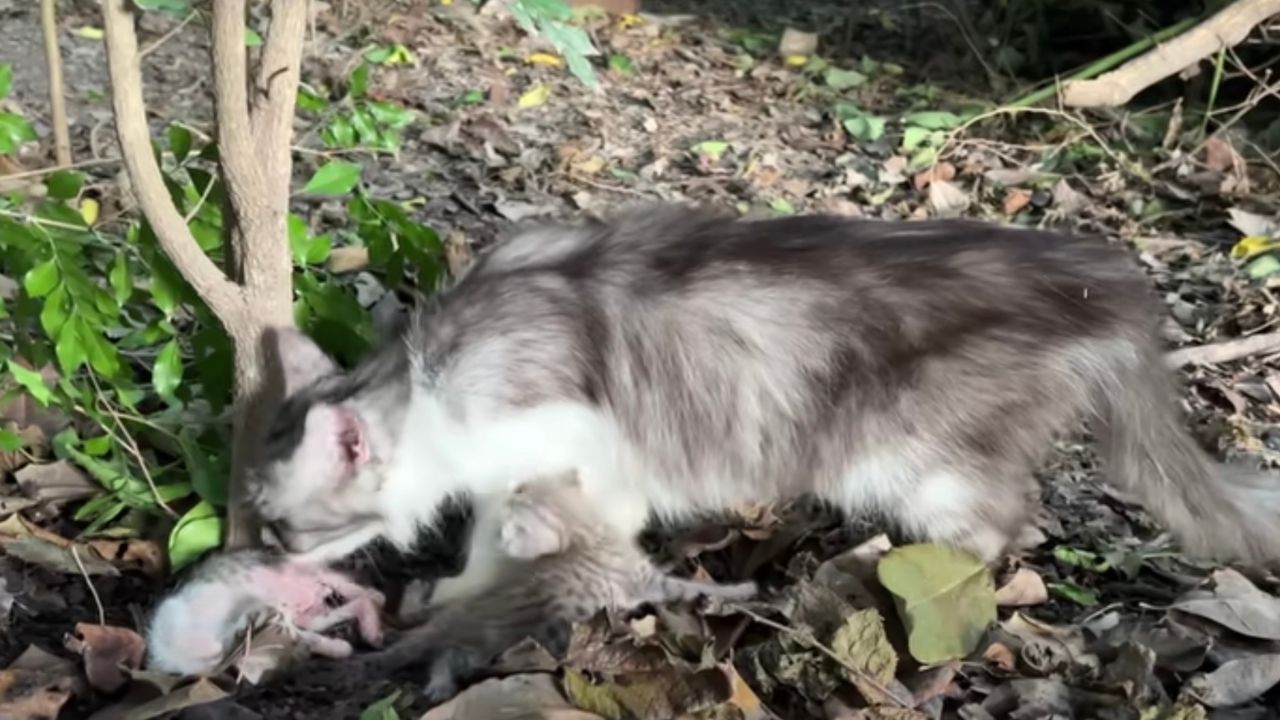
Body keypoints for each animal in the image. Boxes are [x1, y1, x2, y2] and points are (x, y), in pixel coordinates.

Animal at [146, 545, 381, 676]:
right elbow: (307, 638)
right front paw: (338, 648)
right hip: (308, 613)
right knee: (345, 605)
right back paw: (371, 622)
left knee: (336, 580)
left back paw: (374, 598)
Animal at [244, 203, 1280, 604]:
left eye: (274, 527)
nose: (252, 558)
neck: (431, 379)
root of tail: (1107, 285)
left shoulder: (570, 436)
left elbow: (520, 527)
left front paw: (491, 568)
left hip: (911, 459)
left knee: (1003, 523)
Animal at [350, 466, 752, 702]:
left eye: (522, 493)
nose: (510, 484)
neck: (590, 528)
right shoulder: (645, 580)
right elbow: (687, 586)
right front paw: (742, 590)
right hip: (487, 643)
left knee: (440, 653)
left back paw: (437, 682)